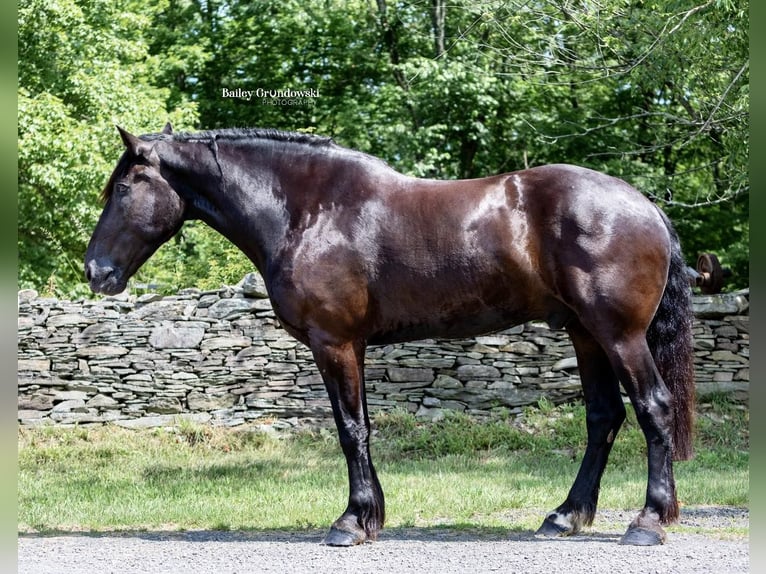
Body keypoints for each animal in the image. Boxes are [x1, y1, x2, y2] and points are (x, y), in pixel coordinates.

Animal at [84, 125, 696, 548]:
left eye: (124, 188)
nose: (95, 271)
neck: (308, 210)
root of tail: (644, 206)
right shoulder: (350, 346)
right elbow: (362, 428)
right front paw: (370, 515)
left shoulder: (332, 342)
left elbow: (350, 429)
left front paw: (351, 522)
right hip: (585, 334)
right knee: (604, 418)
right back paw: (565, 516)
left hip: (619, 335)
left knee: (654, 407)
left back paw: (647, 521)